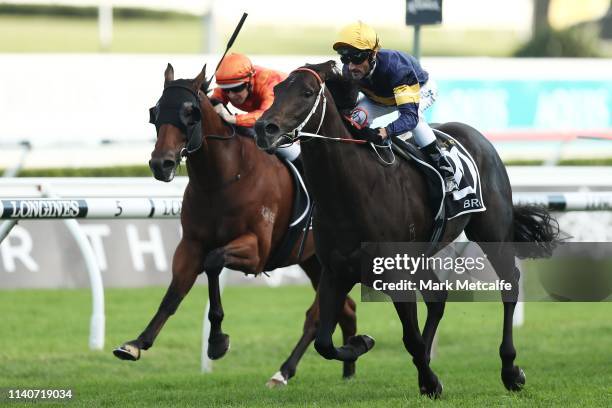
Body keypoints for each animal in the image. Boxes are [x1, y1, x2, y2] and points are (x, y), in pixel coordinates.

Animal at [113, 63, 358, 386]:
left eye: (191, 113)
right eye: (155, 111)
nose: (160, 164)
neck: (221, 180)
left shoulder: (257, 250)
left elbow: (213, 262)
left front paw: (217, 341)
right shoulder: (190, 245)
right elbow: (173, 294)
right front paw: (137, 343)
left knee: (316, 316)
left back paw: (284, 371)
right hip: (314, 260)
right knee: (347, 308)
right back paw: (349, 368)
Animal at [253, 62, 560, 396]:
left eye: (307, 92)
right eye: (277, 90)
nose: (263, 128)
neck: (352, 191)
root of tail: (478, 137)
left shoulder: (395, 274)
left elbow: (409, 338)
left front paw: (431, 380)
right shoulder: (335, 272)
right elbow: (324, 342)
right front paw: (363, 343)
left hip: (492, 232)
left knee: (509, 287)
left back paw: (510, 370)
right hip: (422, 256)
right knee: (438, 298)